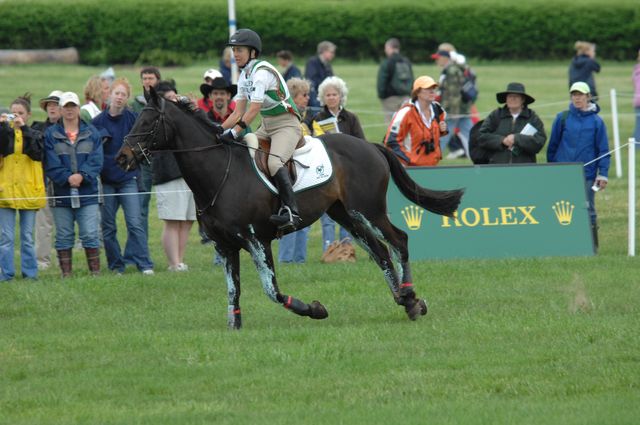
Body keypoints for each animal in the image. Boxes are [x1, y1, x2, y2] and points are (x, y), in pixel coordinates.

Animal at [117, 88, 462, 328]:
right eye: (135, 118)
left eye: (148, 122)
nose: (122, 157)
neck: (219, 173)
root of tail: (370, 145)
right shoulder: (225, 246)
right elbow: (233, 291)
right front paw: (234, 326)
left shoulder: (256, 240)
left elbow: (272, 290)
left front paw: (315, 310)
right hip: (345, 214)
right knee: (380, 252)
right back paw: (405, 299)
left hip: (368, 210)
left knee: (398, 241)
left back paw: (410, 298)